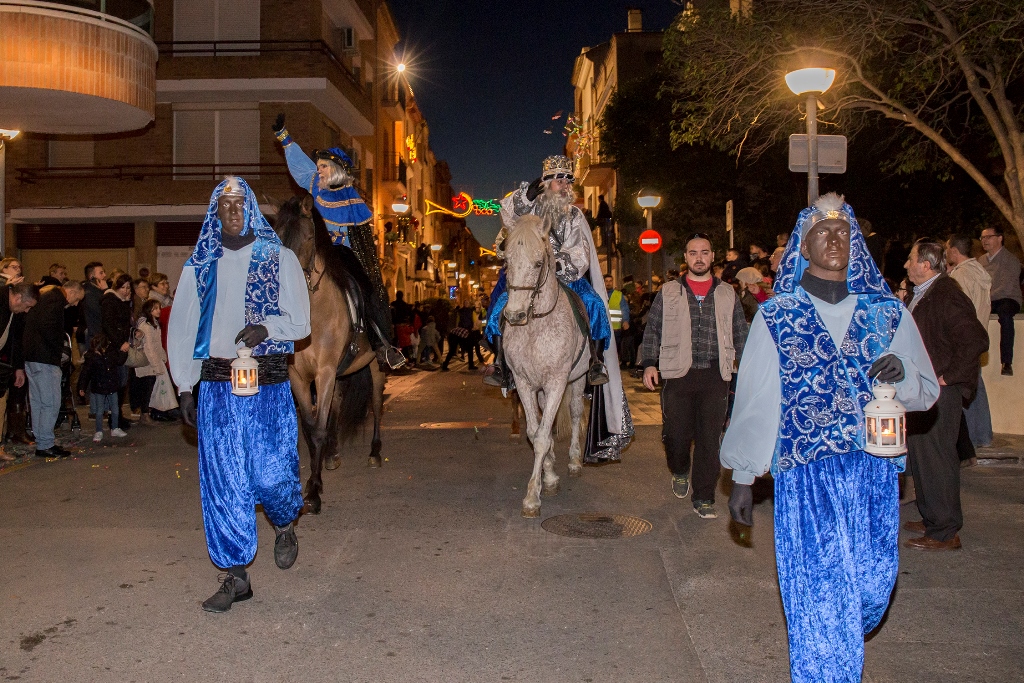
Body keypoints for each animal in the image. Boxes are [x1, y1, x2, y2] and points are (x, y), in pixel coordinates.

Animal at [274, 196, 385, 511]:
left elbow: (319, 428)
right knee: (336, 404)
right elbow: (311, 428)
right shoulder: (299, 376)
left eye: (309, 237)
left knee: (376, 403)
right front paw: (315, 475)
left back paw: (374, 452)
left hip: (375, 366)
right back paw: (333, 453)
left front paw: (313, 491)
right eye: (277, 235)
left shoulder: (323, 372)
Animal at [501, 216, 589, 516]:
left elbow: (541, 438)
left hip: (578, 379)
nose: (514, 315)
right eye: (506, 262)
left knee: (575, 413)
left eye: (539, 263)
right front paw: (547, 478)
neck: (536, 325)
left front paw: (532, 498)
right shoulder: (524, 382)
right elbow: (535, 432)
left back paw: (574, 461)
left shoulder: (557, 382)